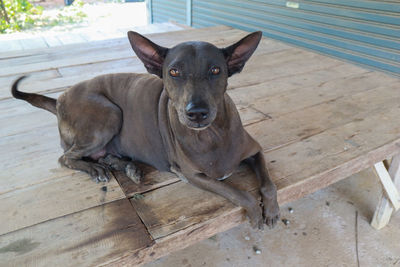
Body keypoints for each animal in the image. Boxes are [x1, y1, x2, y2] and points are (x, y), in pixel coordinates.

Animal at [11, 30, 278, 228]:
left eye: (215, 70)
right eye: (174, 72)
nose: (196, 112)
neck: (212, 135)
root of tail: (59, 99)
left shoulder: (255, 151)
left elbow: (268, 183)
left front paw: (272, 211)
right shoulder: (193, 175)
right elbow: (239, 193)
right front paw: (256, 213)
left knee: (102, 156)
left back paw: (126, 167)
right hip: (109, 112)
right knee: (65, 157)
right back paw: (96, 168)